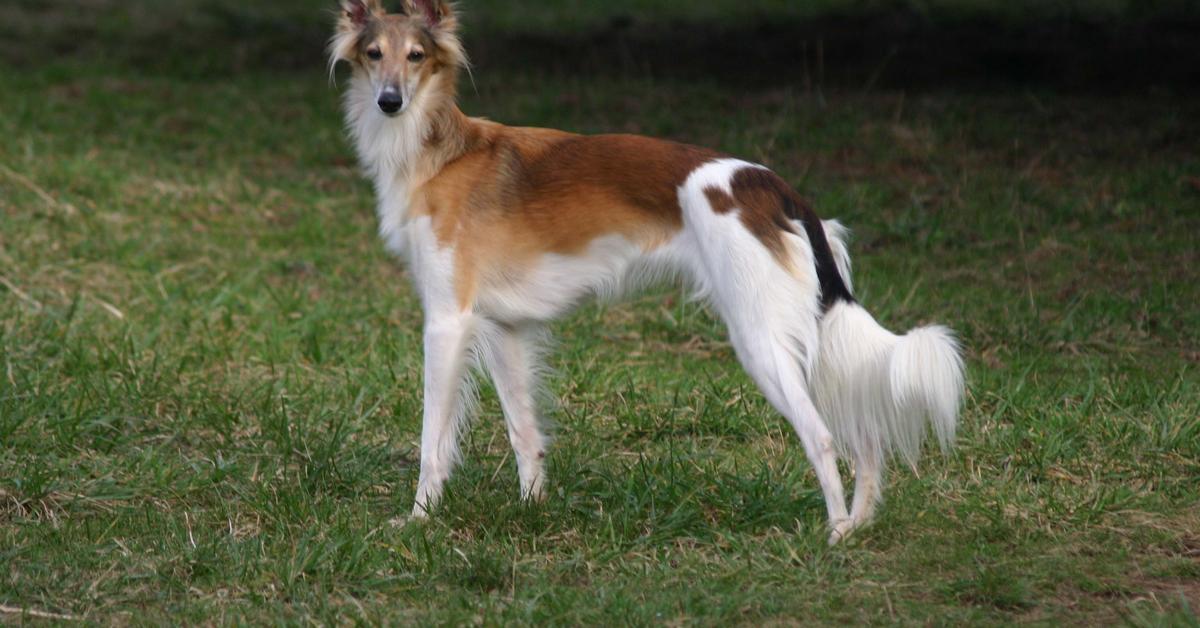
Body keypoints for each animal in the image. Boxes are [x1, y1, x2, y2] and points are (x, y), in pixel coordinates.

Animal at [328, 0, 964, 545]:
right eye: (373, 53)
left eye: (416, 55)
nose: (390, 102)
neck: (435, 150)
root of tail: (770, 183)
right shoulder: (504, 328)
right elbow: (525, 434)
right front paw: (532, 514)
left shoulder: (447, 322)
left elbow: (432, 441)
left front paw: (418, 521)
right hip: (807, 336)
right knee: (866, 442)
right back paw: (857, 526)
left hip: (760, 338)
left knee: (824, 437)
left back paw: (832, 536)